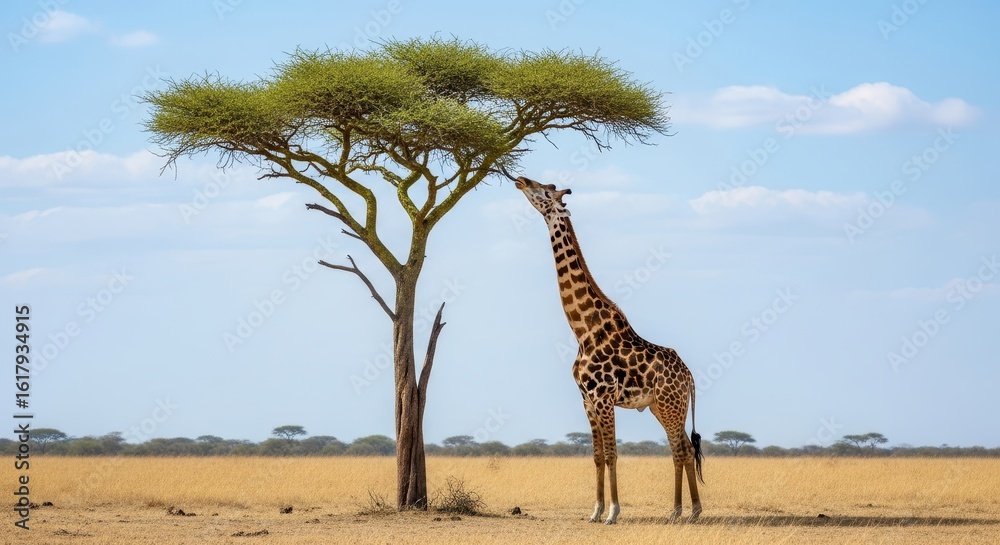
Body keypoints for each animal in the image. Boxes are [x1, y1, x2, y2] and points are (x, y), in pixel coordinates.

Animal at [514, 176, 704, 524]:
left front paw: (613, 512)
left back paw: (681, 511)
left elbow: (614, 454)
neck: (583, 330)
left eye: (546, 191)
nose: (519, 180)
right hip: (661, 407)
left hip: (671, 405)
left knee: (680, 449)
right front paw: (595, 511)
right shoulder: (586, 400)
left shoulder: (603, 397)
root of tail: (690, 377)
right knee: (683, 447)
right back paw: (688, 510)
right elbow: (598, 456)